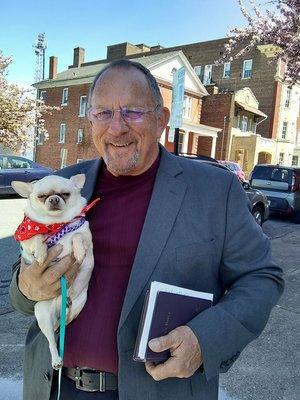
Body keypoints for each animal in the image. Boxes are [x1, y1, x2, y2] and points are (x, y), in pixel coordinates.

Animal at [12, 174, 94, 368]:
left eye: (65, 194)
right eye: (42, 196)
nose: (54, 199)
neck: (56, 225)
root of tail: (60, 304)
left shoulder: (87, 235)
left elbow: (78, 235)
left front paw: (79, 251)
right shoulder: (26, 242)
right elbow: (36, 236)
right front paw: (41, 252)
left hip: (79, 305)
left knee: (65, 322)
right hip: (42, 315)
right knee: (50, 340)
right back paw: (56, 359)